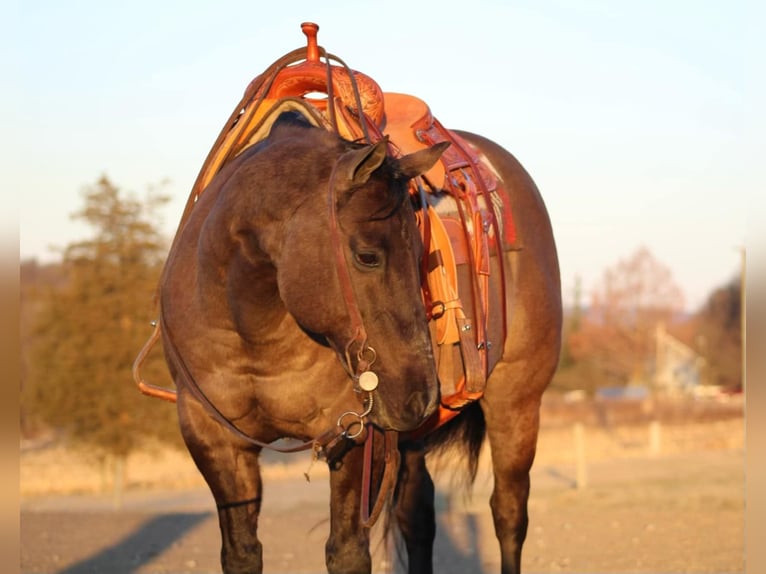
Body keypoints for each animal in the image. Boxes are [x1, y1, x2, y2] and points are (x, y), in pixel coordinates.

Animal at [147, 22, 560, 574]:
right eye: (367, 255)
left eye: (423, 252)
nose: (419, 393)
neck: (252, 325)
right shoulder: (214, 439)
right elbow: (241, 552)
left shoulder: (356, 438)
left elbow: (346, 552)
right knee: (418, 516)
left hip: (516, 404)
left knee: (509, 513)